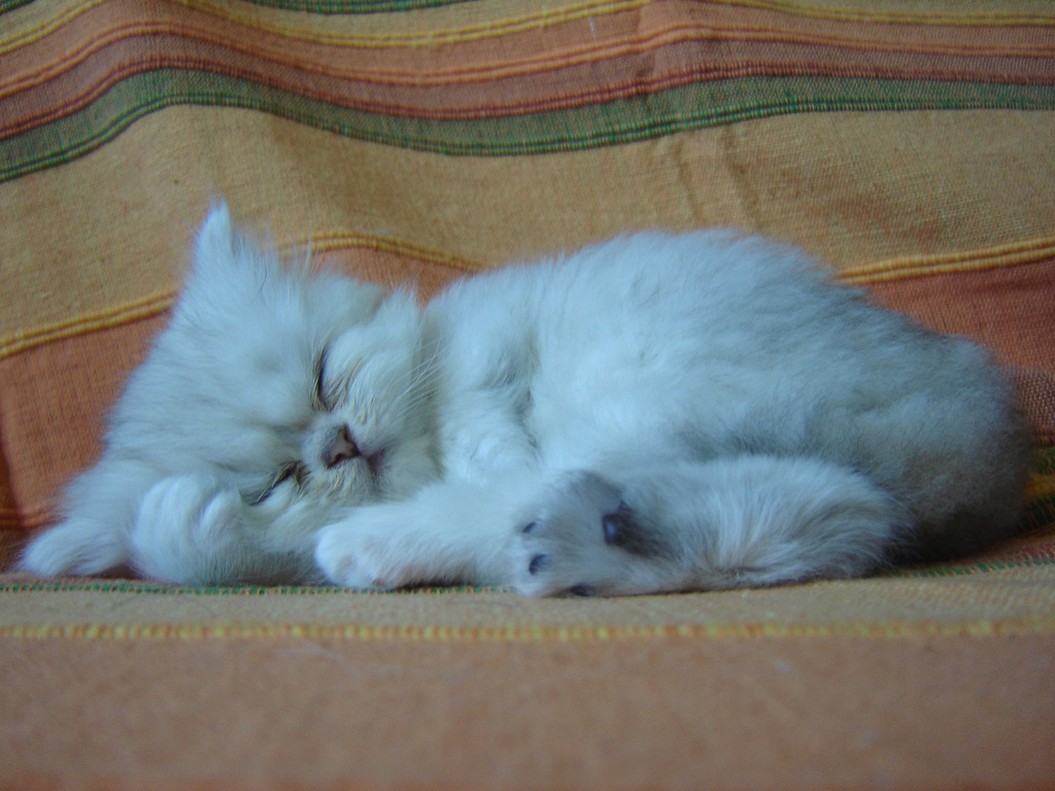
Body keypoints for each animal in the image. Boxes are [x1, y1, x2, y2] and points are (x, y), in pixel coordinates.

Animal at [20, 207, 1029, 599]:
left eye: (323, 374)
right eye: (273, 480)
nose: (337, 444)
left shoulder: (484, 341)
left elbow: (482, 418)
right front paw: (180, 529)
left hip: (659, 379)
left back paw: (383, 542)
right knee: (819, 517)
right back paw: (569, 546)